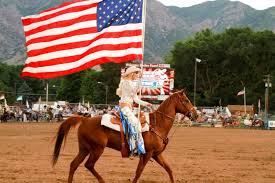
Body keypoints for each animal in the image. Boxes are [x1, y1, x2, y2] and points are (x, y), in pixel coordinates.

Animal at [52, 90, 198, 183]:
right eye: (186, 100)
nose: (196, 115)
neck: (157, 124)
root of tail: (84, 119)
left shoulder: (157, 154)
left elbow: (169, 169)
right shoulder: (147, 154)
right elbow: (138, 172)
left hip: (84, 149)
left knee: (74, 165)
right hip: (97, 149)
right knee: (89, 165)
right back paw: (103, 181)